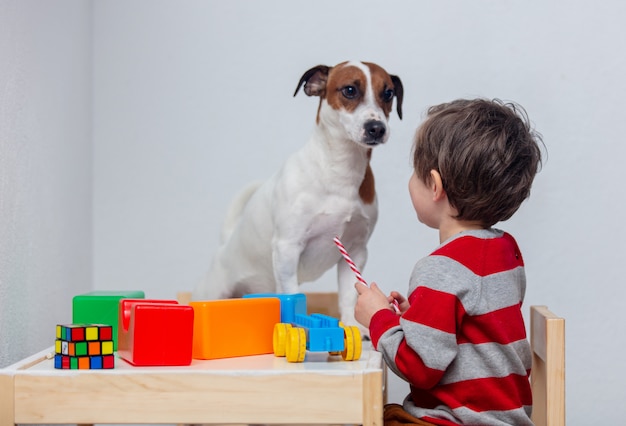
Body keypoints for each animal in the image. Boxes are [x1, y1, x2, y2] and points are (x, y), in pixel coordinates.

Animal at [193, 60, 402, 332]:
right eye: (349, 90)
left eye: (388, 93)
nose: (376, 128)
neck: (339, 170)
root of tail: (224, 244)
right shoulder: (287, 248)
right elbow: (291, 293)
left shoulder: (355, 252)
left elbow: (349, 294)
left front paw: (352, 326)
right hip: (213, 292)